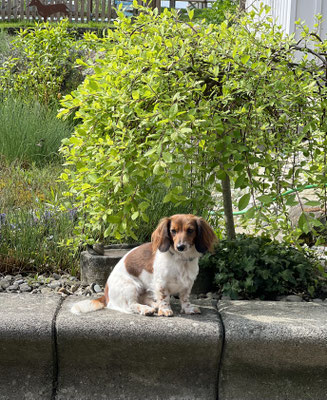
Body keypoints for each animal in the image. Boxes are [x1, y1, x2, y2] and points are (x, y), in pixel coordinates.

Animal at [71, 214, 218, 318]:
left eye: (190, 230)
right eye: (173, 231)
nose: (180, 247)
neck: (180, 259)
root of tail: (106, 294)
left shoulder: (188, 283)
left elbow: (185, 298)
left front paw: (187, 309)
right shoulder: (161, 283)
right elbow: (164, 298)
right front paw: (165, 310)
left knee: (144, 299)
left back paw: (154, 306)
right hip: (131, 286)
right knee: (131, 305)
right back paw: (146, 309)